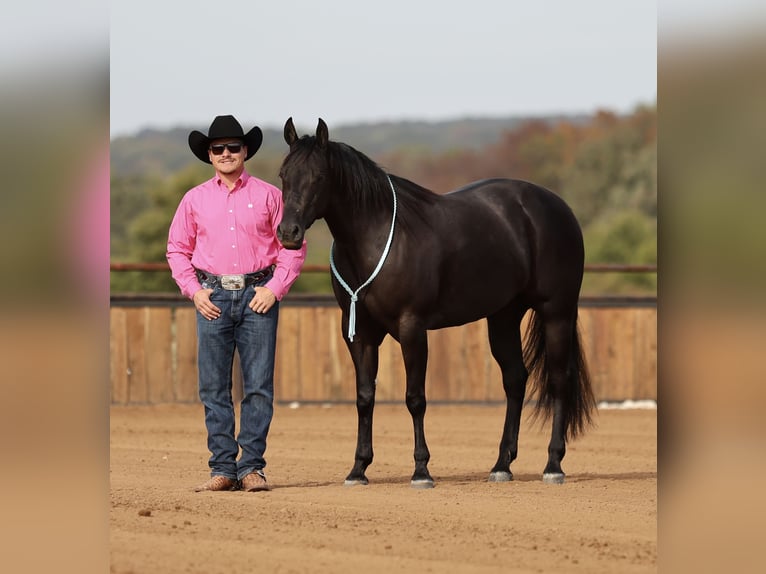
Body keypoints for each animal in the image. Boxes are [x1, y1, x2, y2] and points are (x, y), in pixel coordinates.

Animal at [277, 117, 596, 488]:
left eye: (319, 176)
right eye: (284, 174)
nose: (288, 233)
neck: (377, 236)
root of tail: (559, 207)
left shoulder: (412, 327)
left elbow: (415, 398)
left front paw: (421, 470)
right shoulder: (359, 332)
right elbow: (364, 397)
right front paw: (358, 469)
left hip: (557, 312)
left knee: (559, 380)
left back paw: (553, 465)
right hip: (503, 317)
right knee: (516, 379)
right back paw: (501, 465)